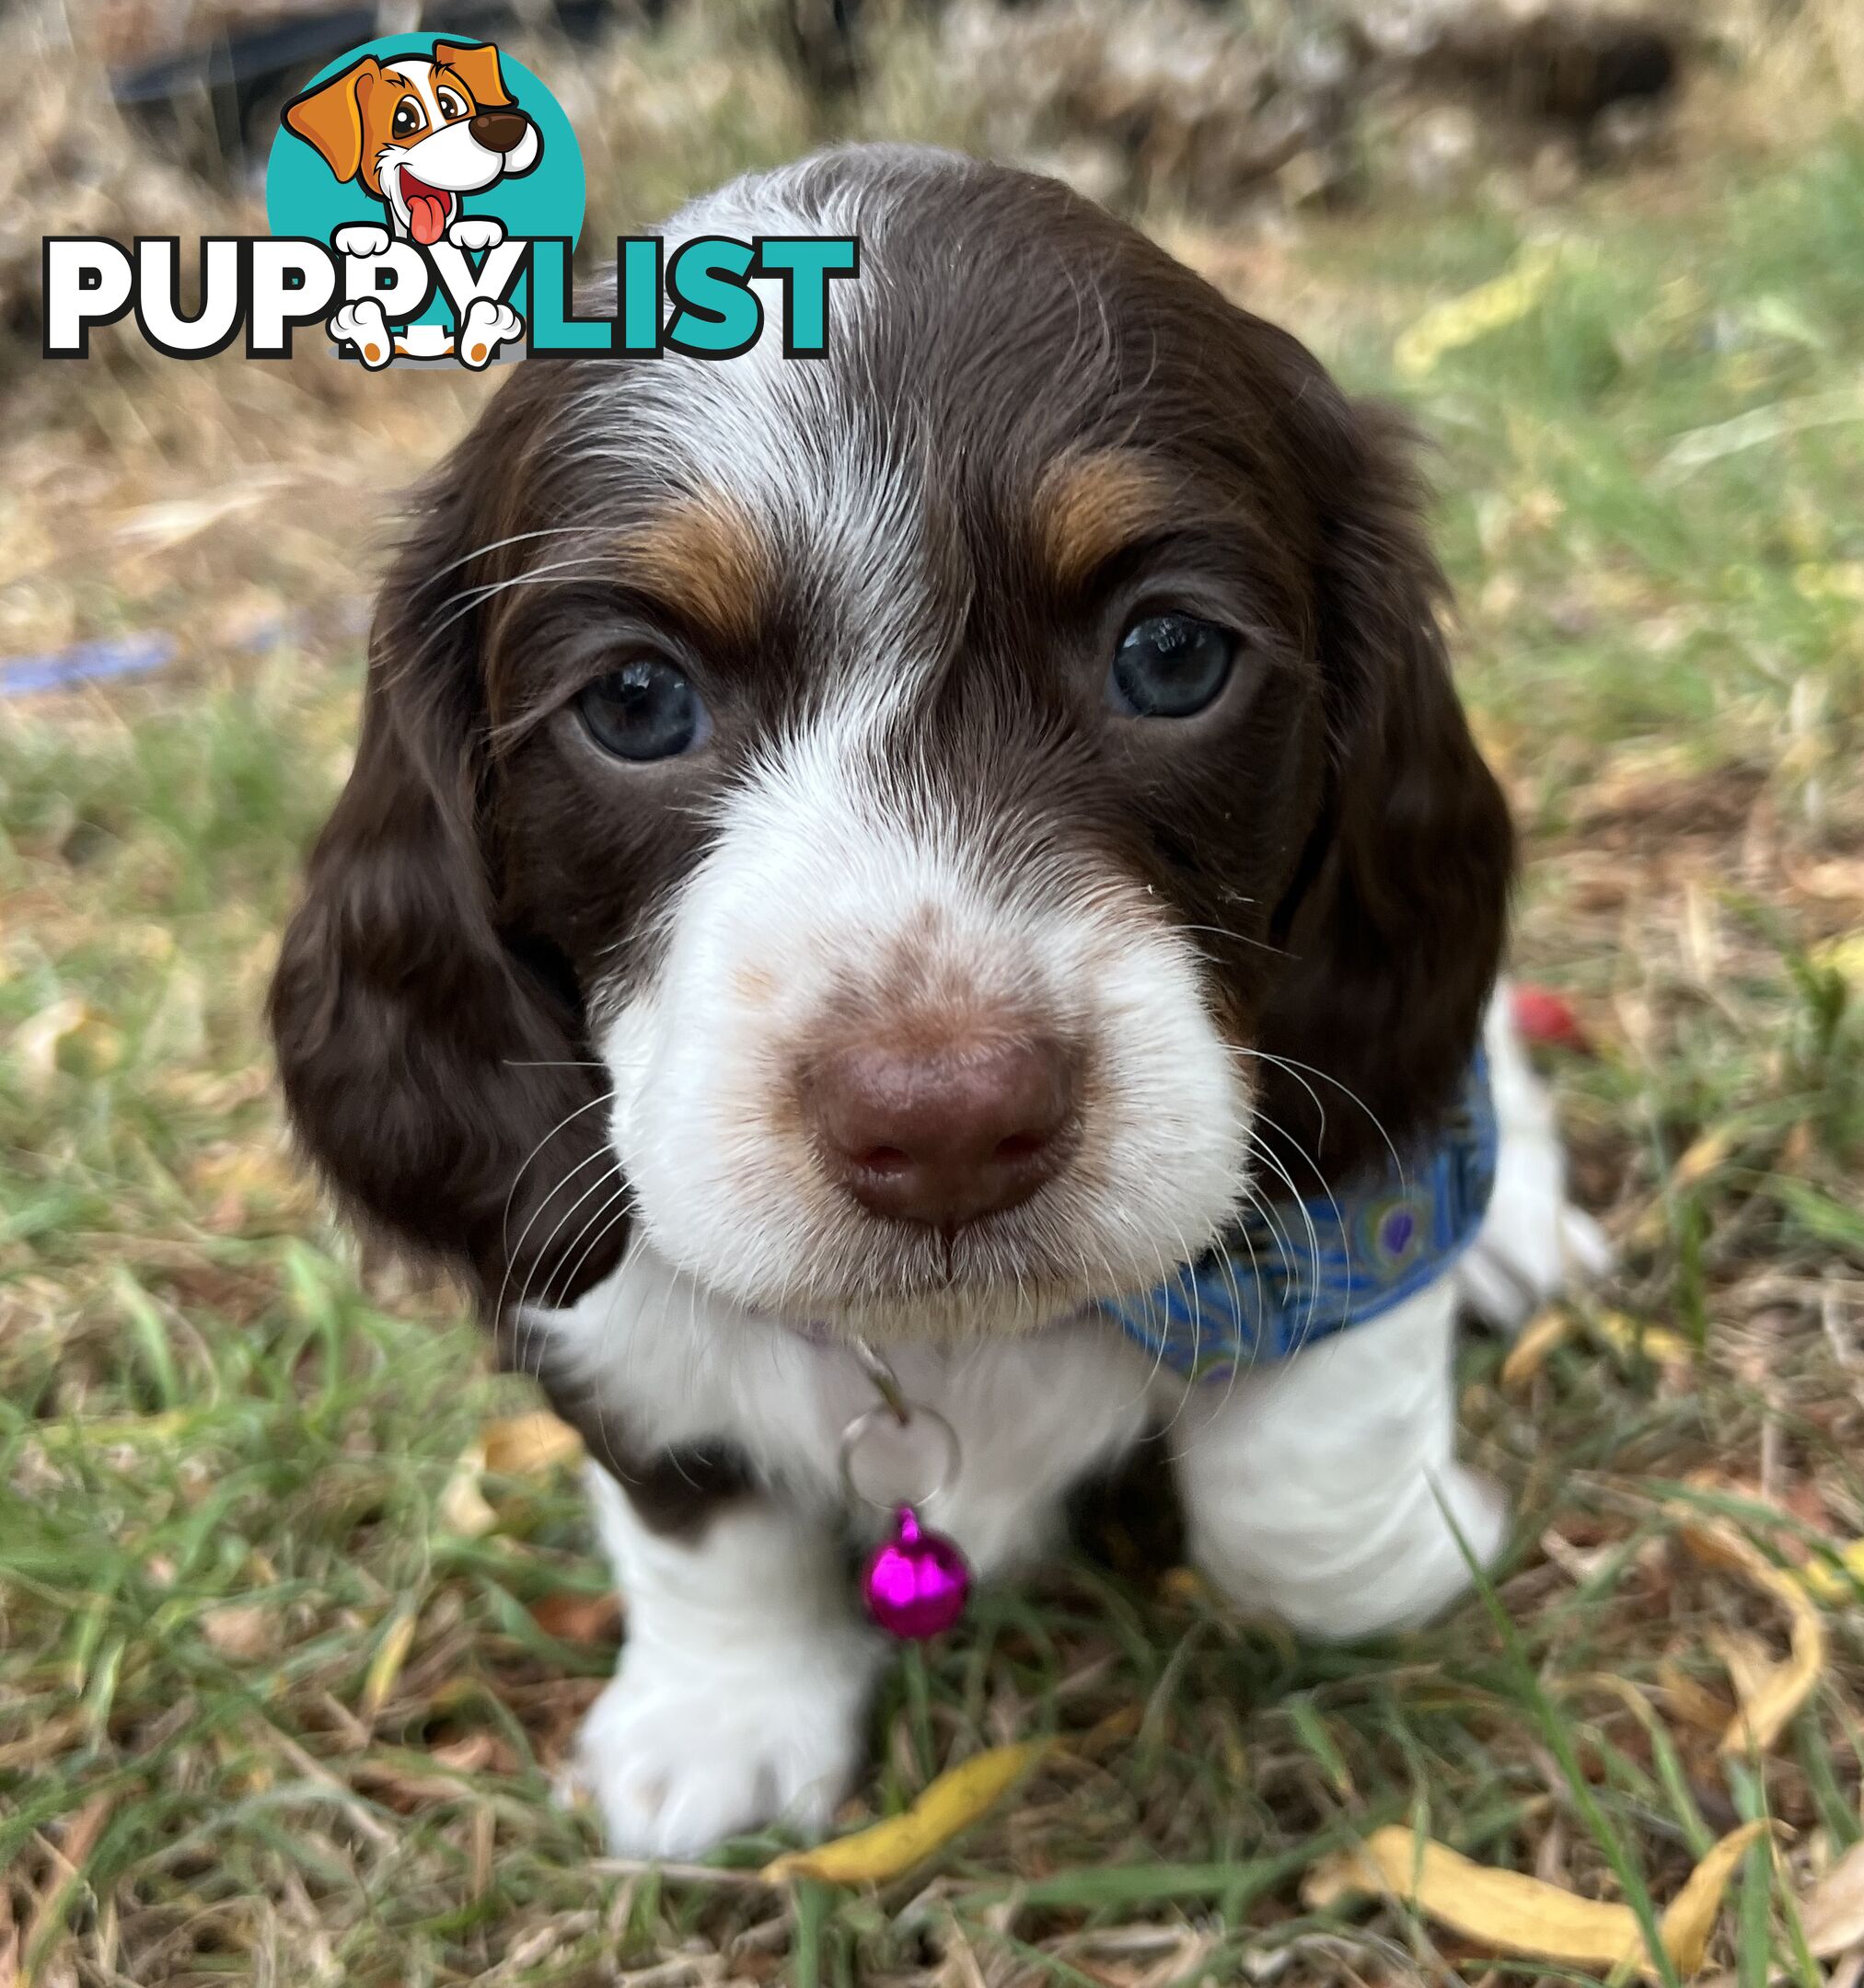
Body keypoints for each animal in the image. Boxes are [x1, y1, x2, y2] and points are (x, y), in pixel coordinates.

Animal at [268, 144, 1605, 1860]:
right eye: (633, 699)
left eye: (1173, 655)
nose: (952, 1125)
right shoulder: (583, 1288)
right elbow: (696, 1509)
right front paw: (719, 1720)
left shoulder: (1327, 1190)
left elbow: (1303, 1478)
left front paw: (1399, 1565)